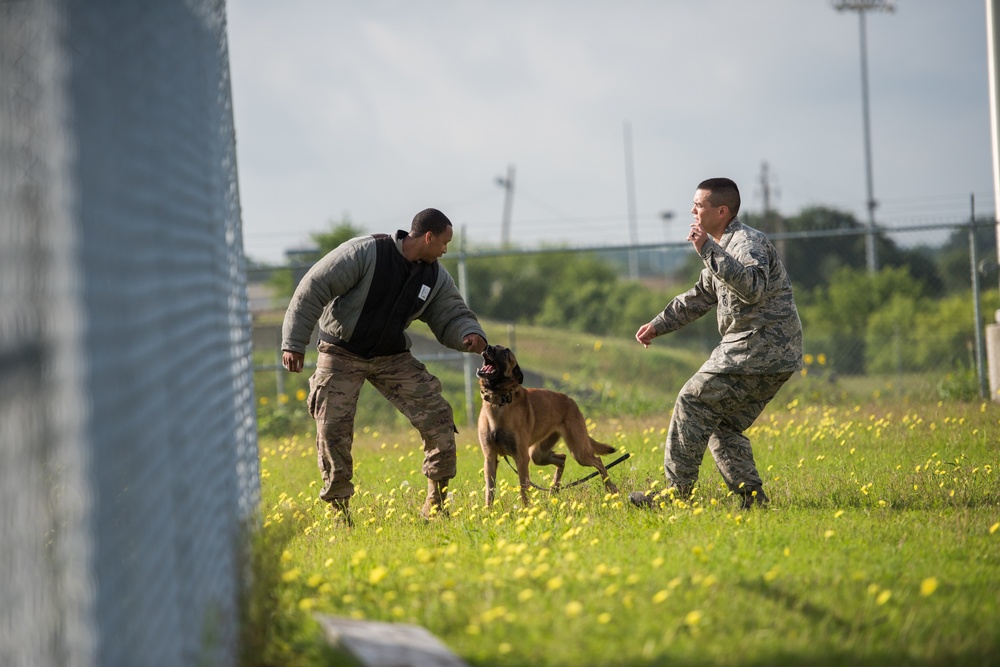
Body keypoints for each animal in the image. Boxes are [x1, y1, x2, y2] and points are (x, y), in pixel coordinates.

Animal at [474, 344, 616, 506]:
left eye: (506, 352)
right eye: (496, 346)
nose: (487, 347)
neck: (499, 401)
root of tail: (571, 401)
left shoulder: (521, 457)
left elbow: (524, 489)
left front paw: (526, 510)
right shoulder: (490, 458)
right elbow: (489, 491)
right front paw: (488, 511)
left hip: (578, 452)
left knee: (598, 461)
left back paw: (611, 488)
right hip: (538, 454)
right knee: (562, 458)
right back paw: (554, 489)